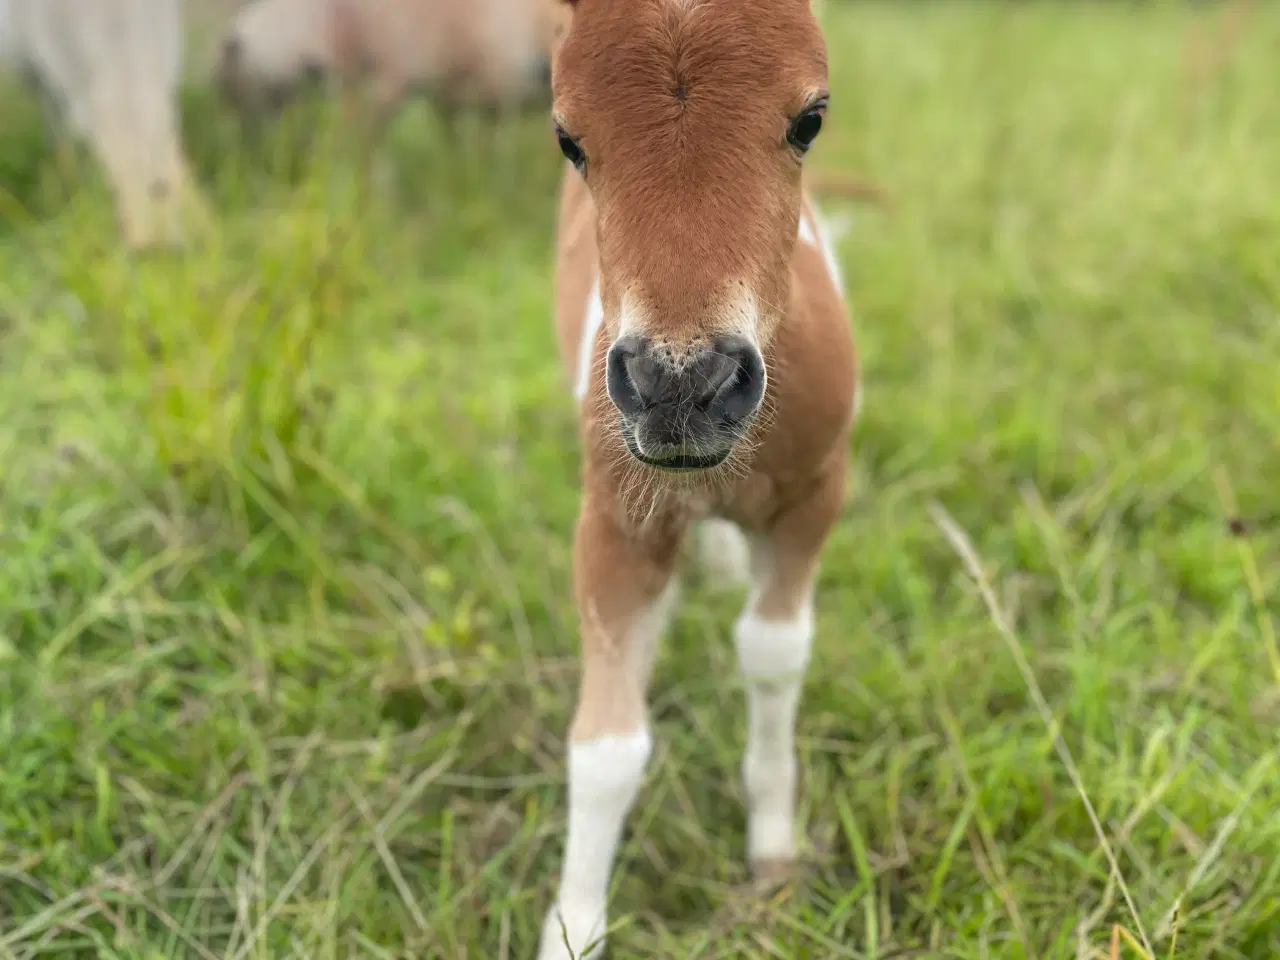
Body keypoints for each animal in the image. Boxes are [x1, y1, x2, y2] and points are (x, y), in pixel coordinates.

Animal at [540, 1, 860, 960]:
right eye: (568, 137)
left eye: (811, 118)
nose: (681, 388)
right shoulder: (615, 525)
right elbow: (606, 747)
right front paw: (573, 926)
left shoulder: (814, 495)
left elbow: (774, 652)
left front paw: (773, 855)